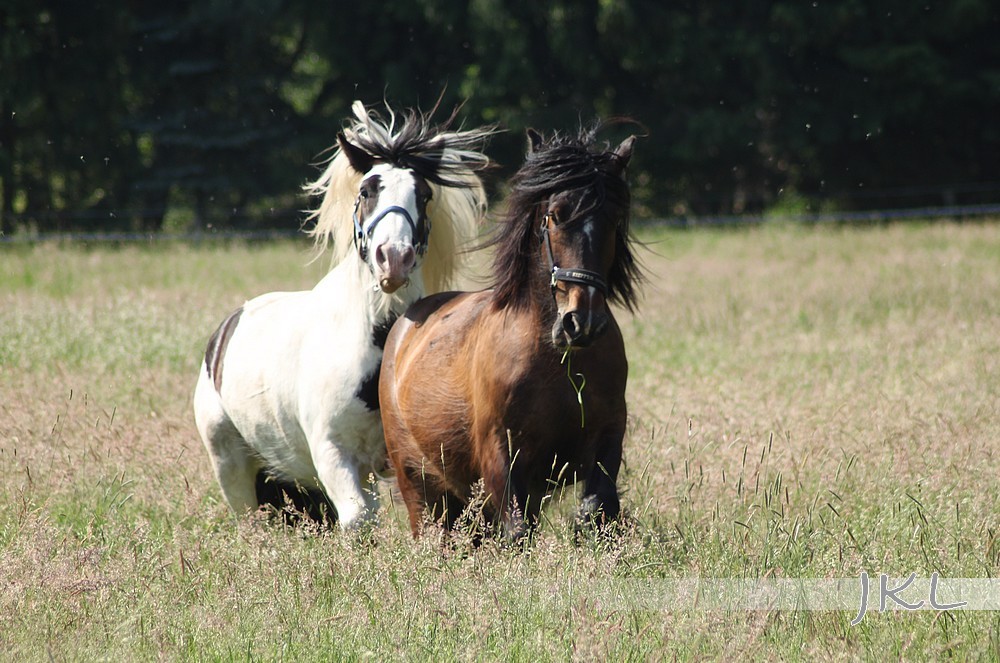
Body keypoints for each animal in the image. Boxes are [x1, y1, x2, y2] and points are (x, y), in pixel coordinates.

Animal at [193, 101, 490, 532]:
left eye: (424, 194)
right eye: (366, 191)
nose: (394, 258)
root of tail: (225, 330)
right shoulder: (333, 452)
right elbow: (358, 520)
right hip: (232, 464)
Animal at [378, 124, 644, 540]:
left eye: (614, 219)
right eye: (554, 215)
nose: (581, 322)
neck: (558, 361)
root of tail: (404, 328)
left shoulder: (607, 437)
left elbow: (598, 508)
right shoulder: (500, 455)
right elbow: (517, 530)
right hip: (419, 487)